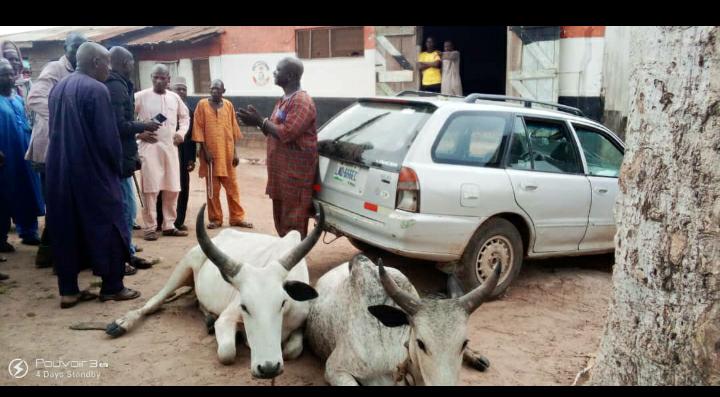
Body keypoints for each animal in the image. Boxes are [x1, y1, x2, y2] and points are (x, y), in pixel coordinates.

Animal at [106, 204, 320, 378]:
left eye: (282, 303)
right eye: (244, 306)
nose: (268, 368)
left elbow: (292, 351)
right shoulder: (227, 317)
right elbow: (227, 352)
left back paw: (208, 318)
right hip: (184, 265)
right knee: (154, 301)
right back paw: (122, 323)